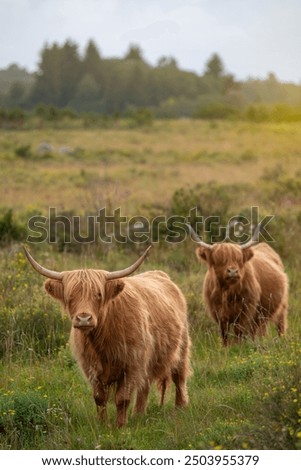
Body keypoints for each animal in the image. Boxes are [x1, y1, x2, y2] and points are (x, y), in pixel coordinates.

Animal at [23, 248, 190, 428]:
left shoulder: (132, 364)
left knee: (179, 377)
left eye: (98, 294)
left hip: (181, 347)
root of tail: (160, 274)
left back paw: (180, 407)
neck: (102, 340)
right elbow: (99, 398)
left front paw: (120, 425)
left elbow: (122, 398)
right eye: (70, 296)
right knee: (144, 385)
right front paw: (103, 424)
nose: (84, 319)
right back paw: (139, 414)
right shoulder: (91, 367)